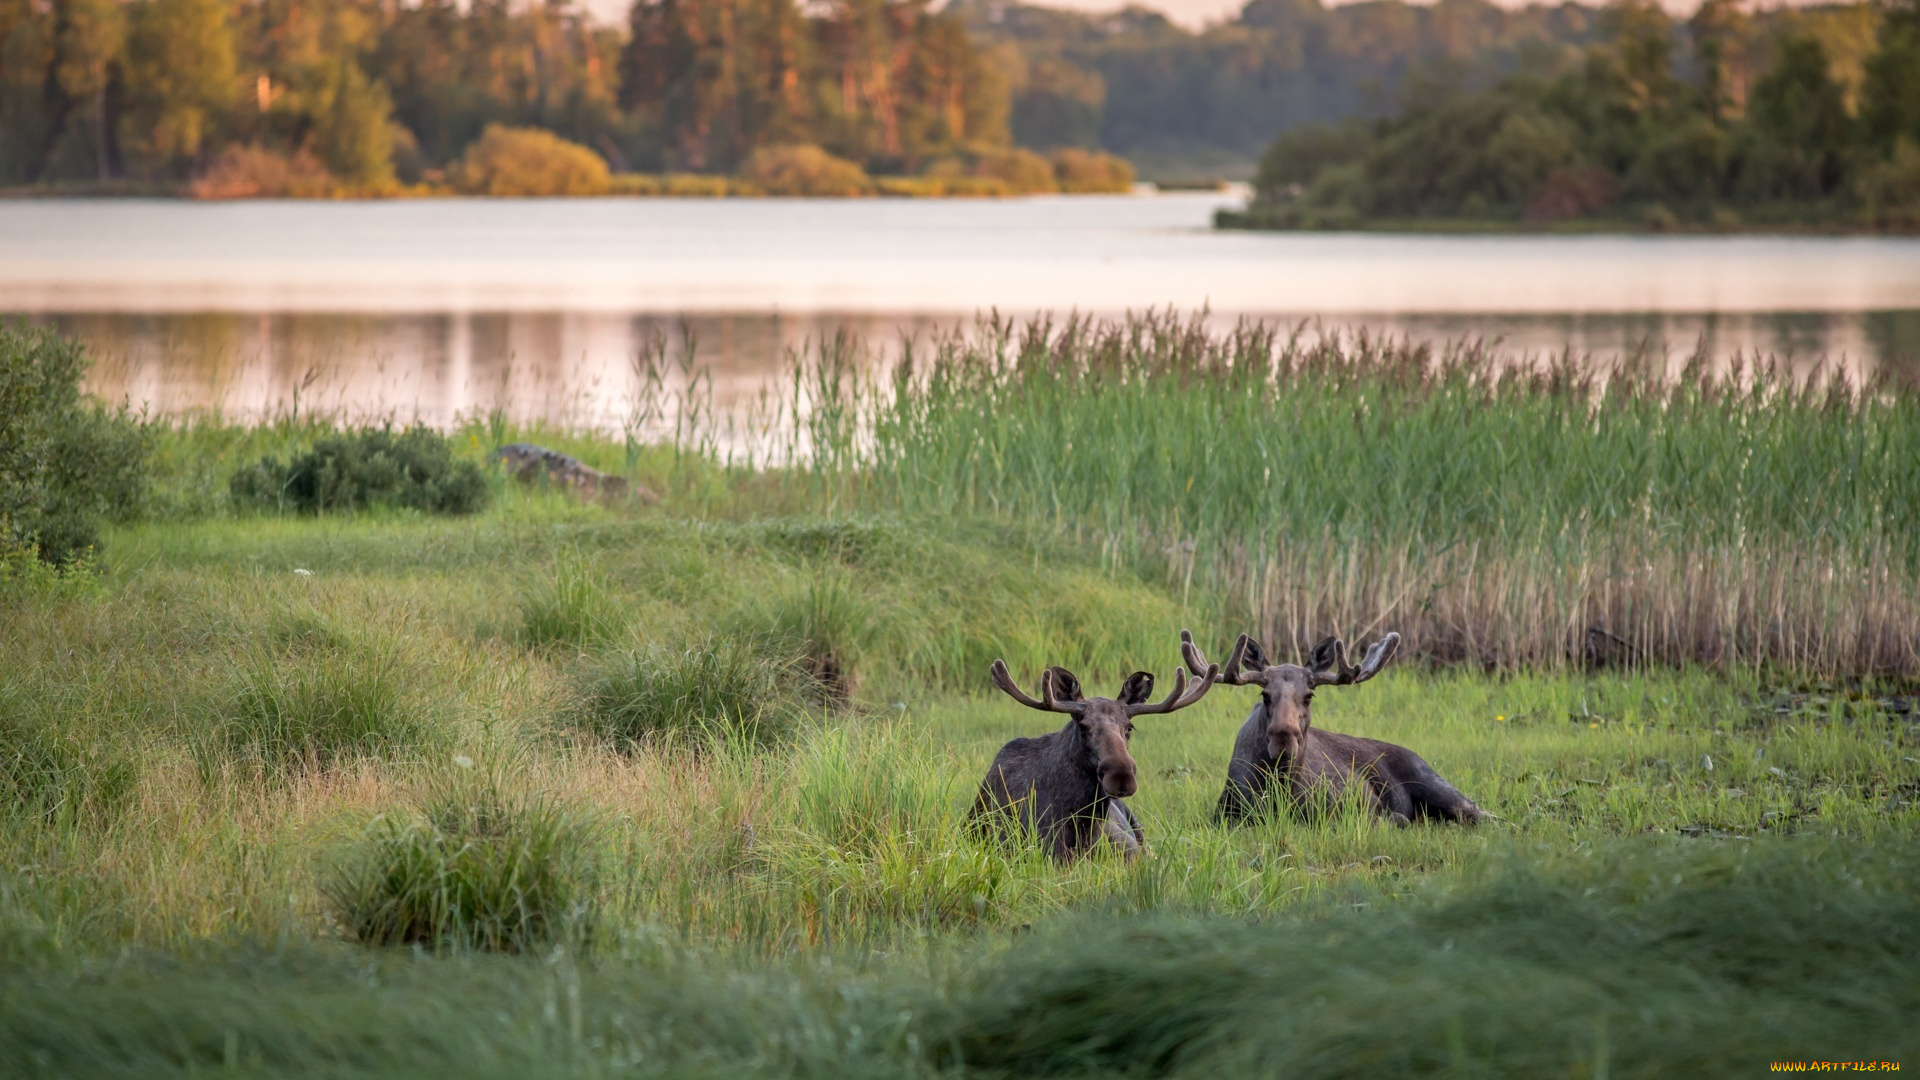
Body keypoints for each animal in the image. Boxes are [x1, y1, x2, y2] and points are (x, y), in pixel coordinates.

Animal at [1182, 622, 1482, 822]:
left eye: (1309, 695)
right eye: (1265, 695)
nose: (1283, 738)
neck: (1282, 791)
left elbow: (1395, 818)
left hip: (1436, 784)